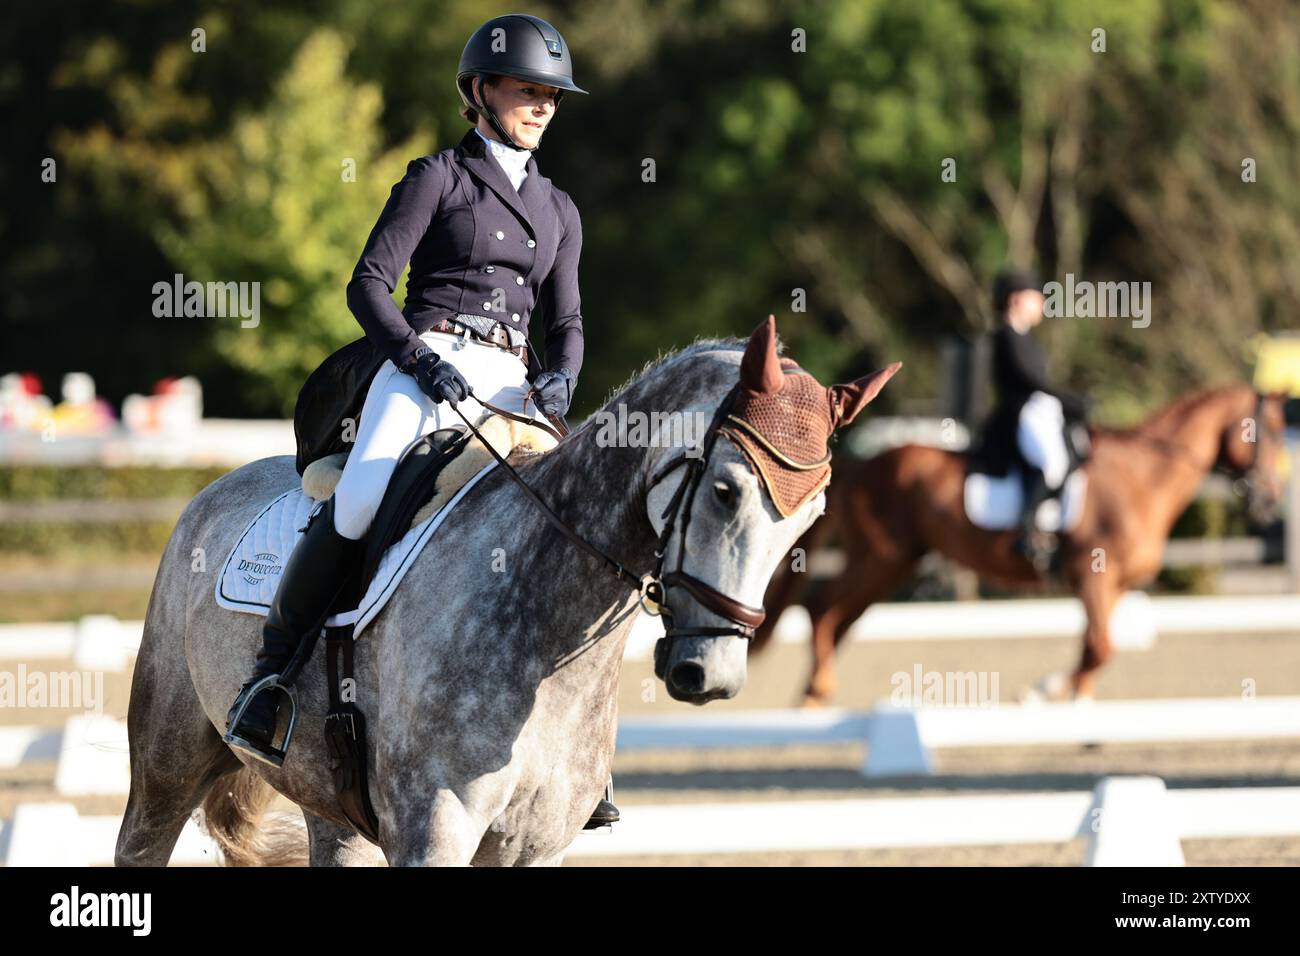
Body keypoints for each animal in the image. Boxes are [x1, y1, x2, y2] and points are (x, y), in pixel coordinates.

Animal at [116, 321, 899, 868]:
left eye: (812, 515)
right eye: (728, 490)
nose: (709, 673)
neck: (547, 631)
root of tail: (216, 486)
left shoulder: (534, 844)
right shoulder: (434, 830)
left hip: (331, 808)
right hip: (166, 765)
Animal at [754, 385, 1289, 707]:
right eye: (1269, 430)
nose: (1270, 500)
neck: (1142, 476)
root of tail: (860, 467)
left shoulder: (1112, 586)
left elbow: (1094, 649)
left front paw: (1079, 704)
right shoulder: (1094, 575)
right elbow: (1100, 647)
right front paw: (1042, 693)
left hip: (894, 565)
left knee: (837, 618)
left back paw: (817, 693)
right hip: (880, 558)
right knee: (821, 609)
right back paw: (815, 693)